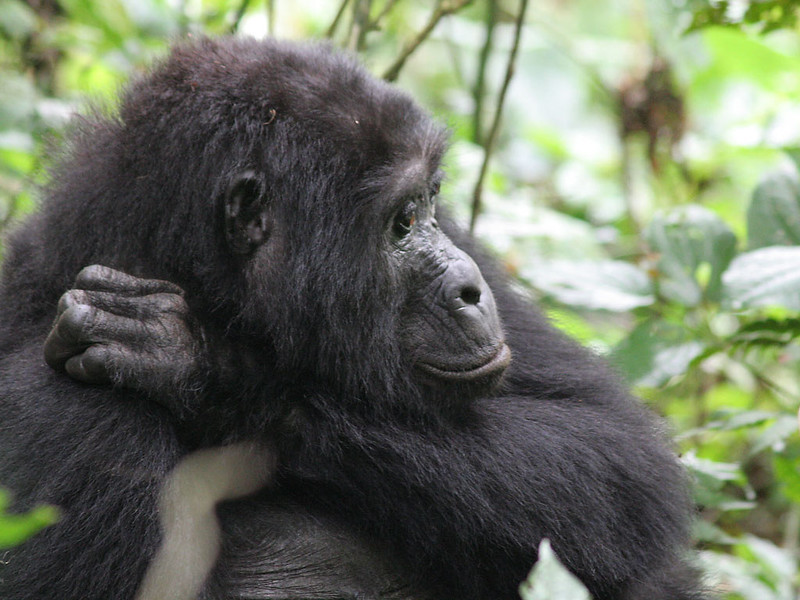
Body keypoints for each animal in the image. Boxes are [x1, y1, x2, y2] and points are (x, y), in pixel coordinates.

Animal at [0, 36, 708, 600]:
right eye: (401, 223)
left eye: (430, 204)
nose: (470, 288)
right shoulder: (68, 407)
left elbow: (613, 456)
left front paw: (210, 370)